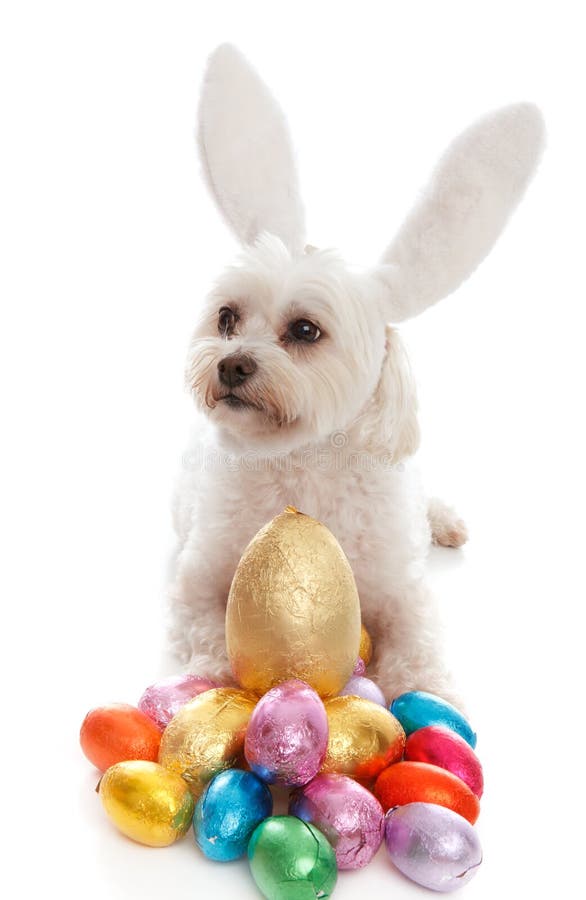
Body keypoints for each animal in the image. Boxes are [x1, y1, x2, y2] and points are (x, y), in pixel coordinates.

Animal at [168, 44, 544, 704]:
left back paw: (442, 520)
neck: (304, 462)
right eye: (227, 317)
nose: (231, 363)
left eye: (305, 331)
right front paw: (211, 681)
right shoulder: (200, 571)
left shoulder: (402, 590)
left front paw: (429, 698)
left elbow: (419, 645)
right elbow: (205, 620)